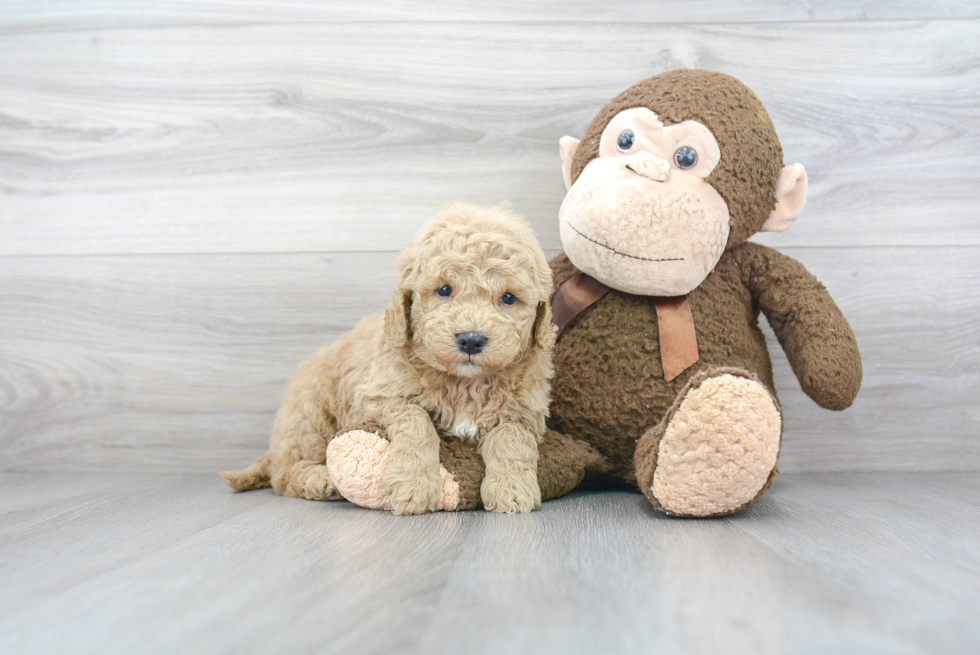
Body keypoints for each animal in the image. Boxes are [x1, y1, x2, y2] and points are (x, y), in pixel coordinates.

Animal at [225, 204, 556, 512]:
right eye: (444, 290)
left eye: (509, 298)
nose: (471, 340)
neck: (463, 382)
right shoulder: (378, 396)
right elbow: (416, 419)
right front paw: (413, 484)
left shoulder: (524, 411)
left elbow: (511, 440)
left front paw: (512, 490)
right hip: (309, 414)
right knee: (284, 473)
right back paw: (320, 481)